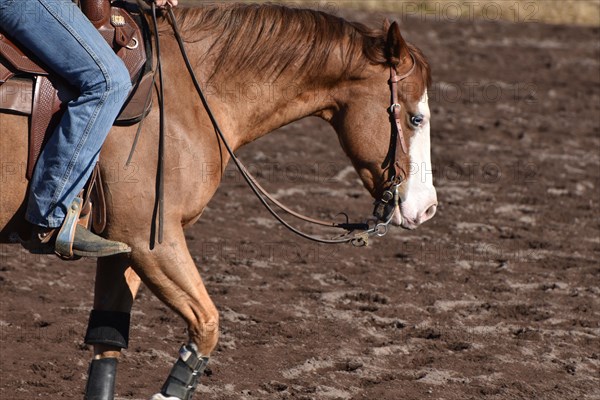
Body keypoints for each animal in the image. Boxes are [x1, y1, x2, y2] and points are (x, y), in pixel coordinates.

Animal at [0, 2, 436, 396]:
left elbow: (107, 341)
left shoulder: (122, 246)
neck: (185, 97)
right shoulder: (151, 241)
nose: (428, 208)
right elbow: (207, 325)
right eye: (416, 118)